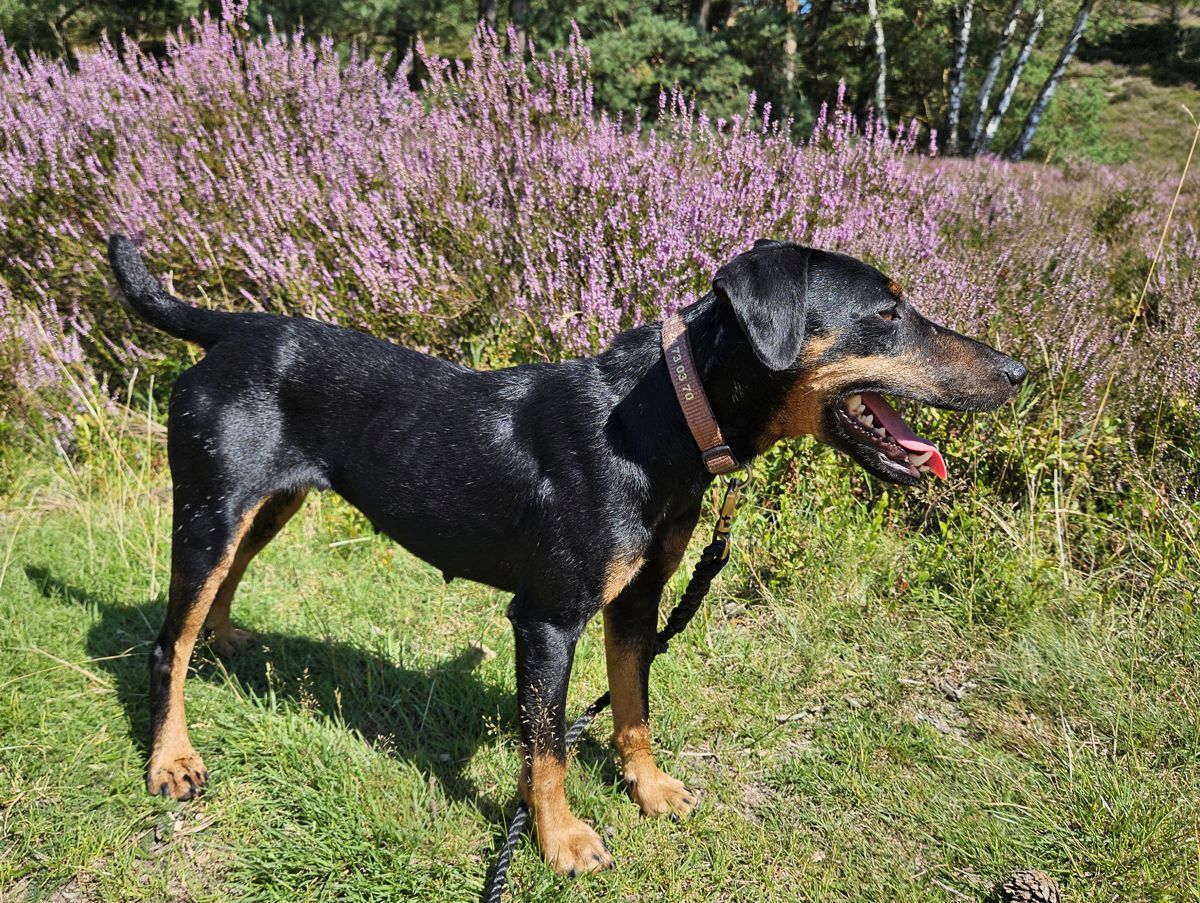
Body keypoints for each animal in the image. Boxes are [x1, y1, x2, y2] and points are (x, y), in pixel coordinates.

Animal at [108, 232, 1022, 874]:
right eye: (887, 313)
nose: (1017, 369)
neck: (665, 419)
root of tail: (232, 327)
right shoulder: (547, 619)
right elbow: (545, 747)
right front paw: (561, 841)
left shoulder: (639, 599)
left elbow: (633, 704)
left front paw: (649, 790)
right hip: (209, 508)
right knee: (164, 642)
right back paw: (171, 759)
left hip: (269, 504)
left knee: (222, 589)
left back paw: (228, 641)